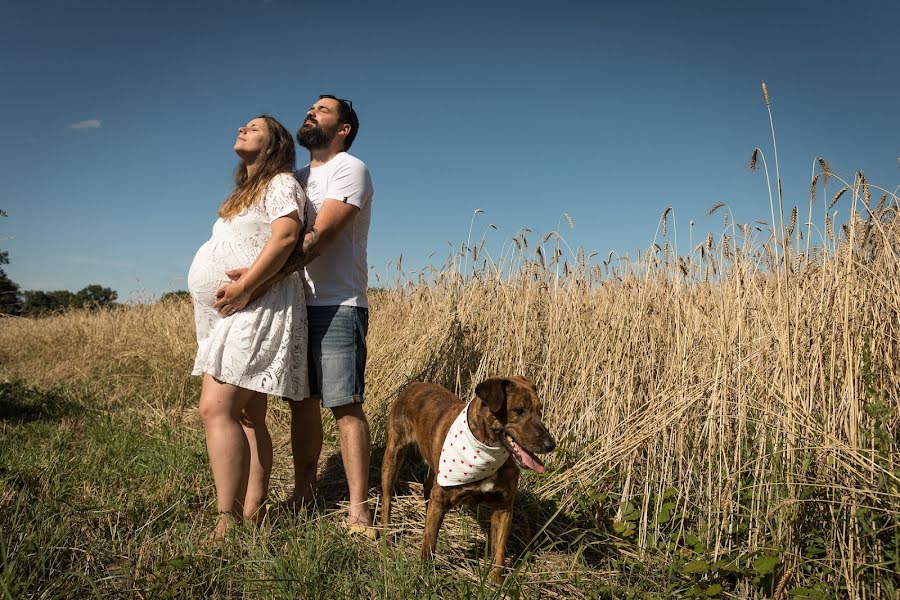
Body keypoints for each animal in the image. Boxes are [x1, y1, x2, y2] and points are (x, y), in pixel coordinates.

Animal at [380, 378, 556, 580]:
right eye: (519, 410)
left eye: (540, 410)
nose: (551, 445)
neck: (486, 450)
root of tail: (416, 383)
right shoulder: (441, 497)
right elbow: (429, 542)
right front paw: (425, 575)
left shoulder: (503, 507)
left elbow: (500, 551)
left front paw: (496, 581)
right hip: (394, 453)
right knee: (387, 497)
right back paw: (385, 533)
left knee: (427, 488)